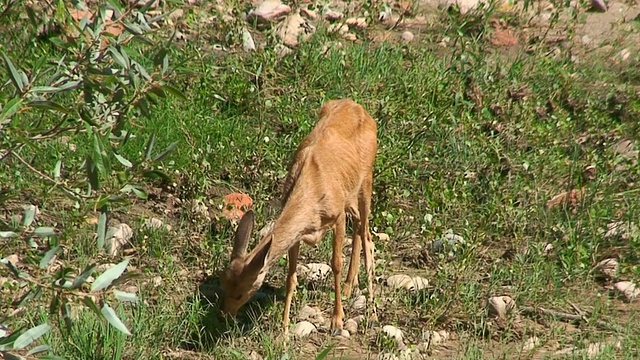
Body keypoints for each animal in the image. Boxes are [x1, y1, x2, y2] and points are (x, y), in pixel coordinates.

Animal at [221, 98, 378, 334]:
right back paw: (350, 287)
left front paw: (337, 320)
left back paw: (372, 307)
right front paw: (284, 330)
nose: (224, 316)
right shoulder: (299, 234)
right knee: (360, 227)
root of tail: (359, 108)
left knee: (367, 234)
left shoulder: (337, 215)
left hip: (366, 179)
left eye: (240, 294)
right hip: (350, 193)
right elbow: (290, 277)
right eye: (224, 285)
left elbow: (336, 264)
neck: (311, 193)